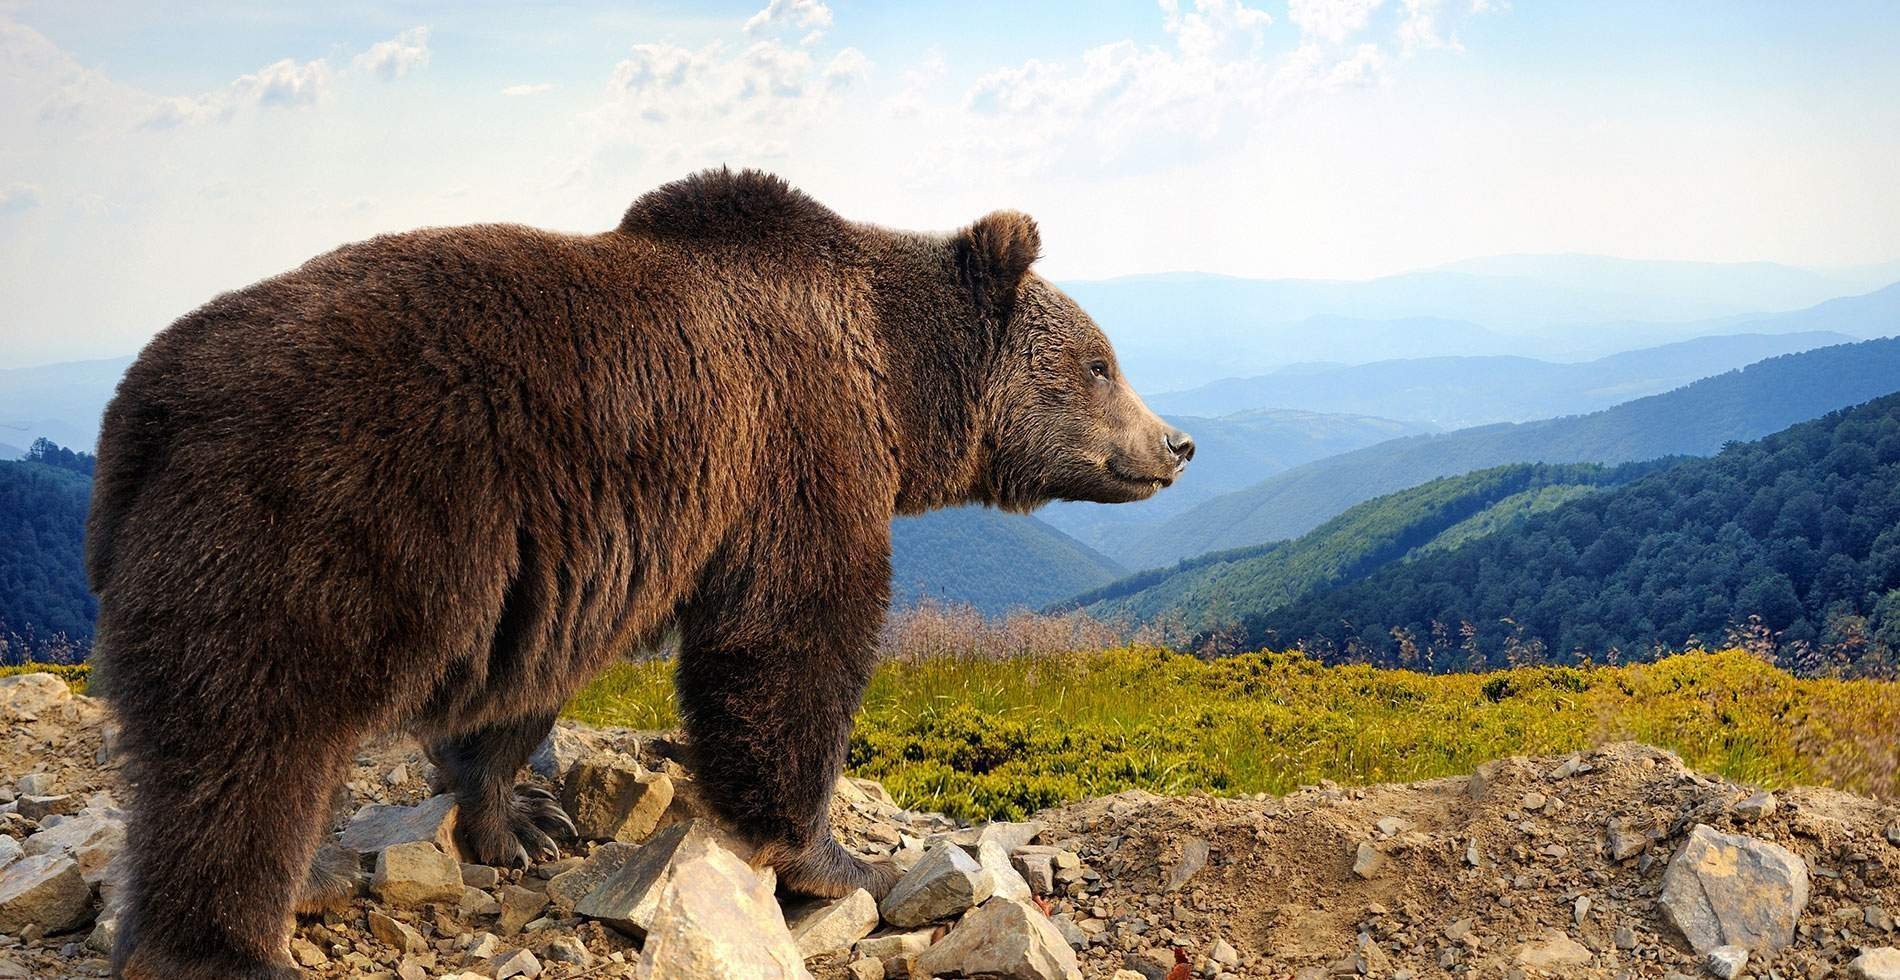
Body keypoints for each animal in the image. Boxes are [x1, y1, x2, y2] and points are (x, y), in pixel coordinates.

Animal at [89, 168, 1185, 980]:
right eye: (1099, 362)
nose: (1176, 443)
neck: (895, 382)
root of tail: (143, 406)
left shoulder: (576, 557)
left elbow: (529, 684)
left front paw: (519, 819)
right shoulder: (795, 451)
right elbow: (791, 642)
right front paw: (840, 861)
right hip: (313, 522)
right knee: (249, 749)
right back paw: (226, 945)